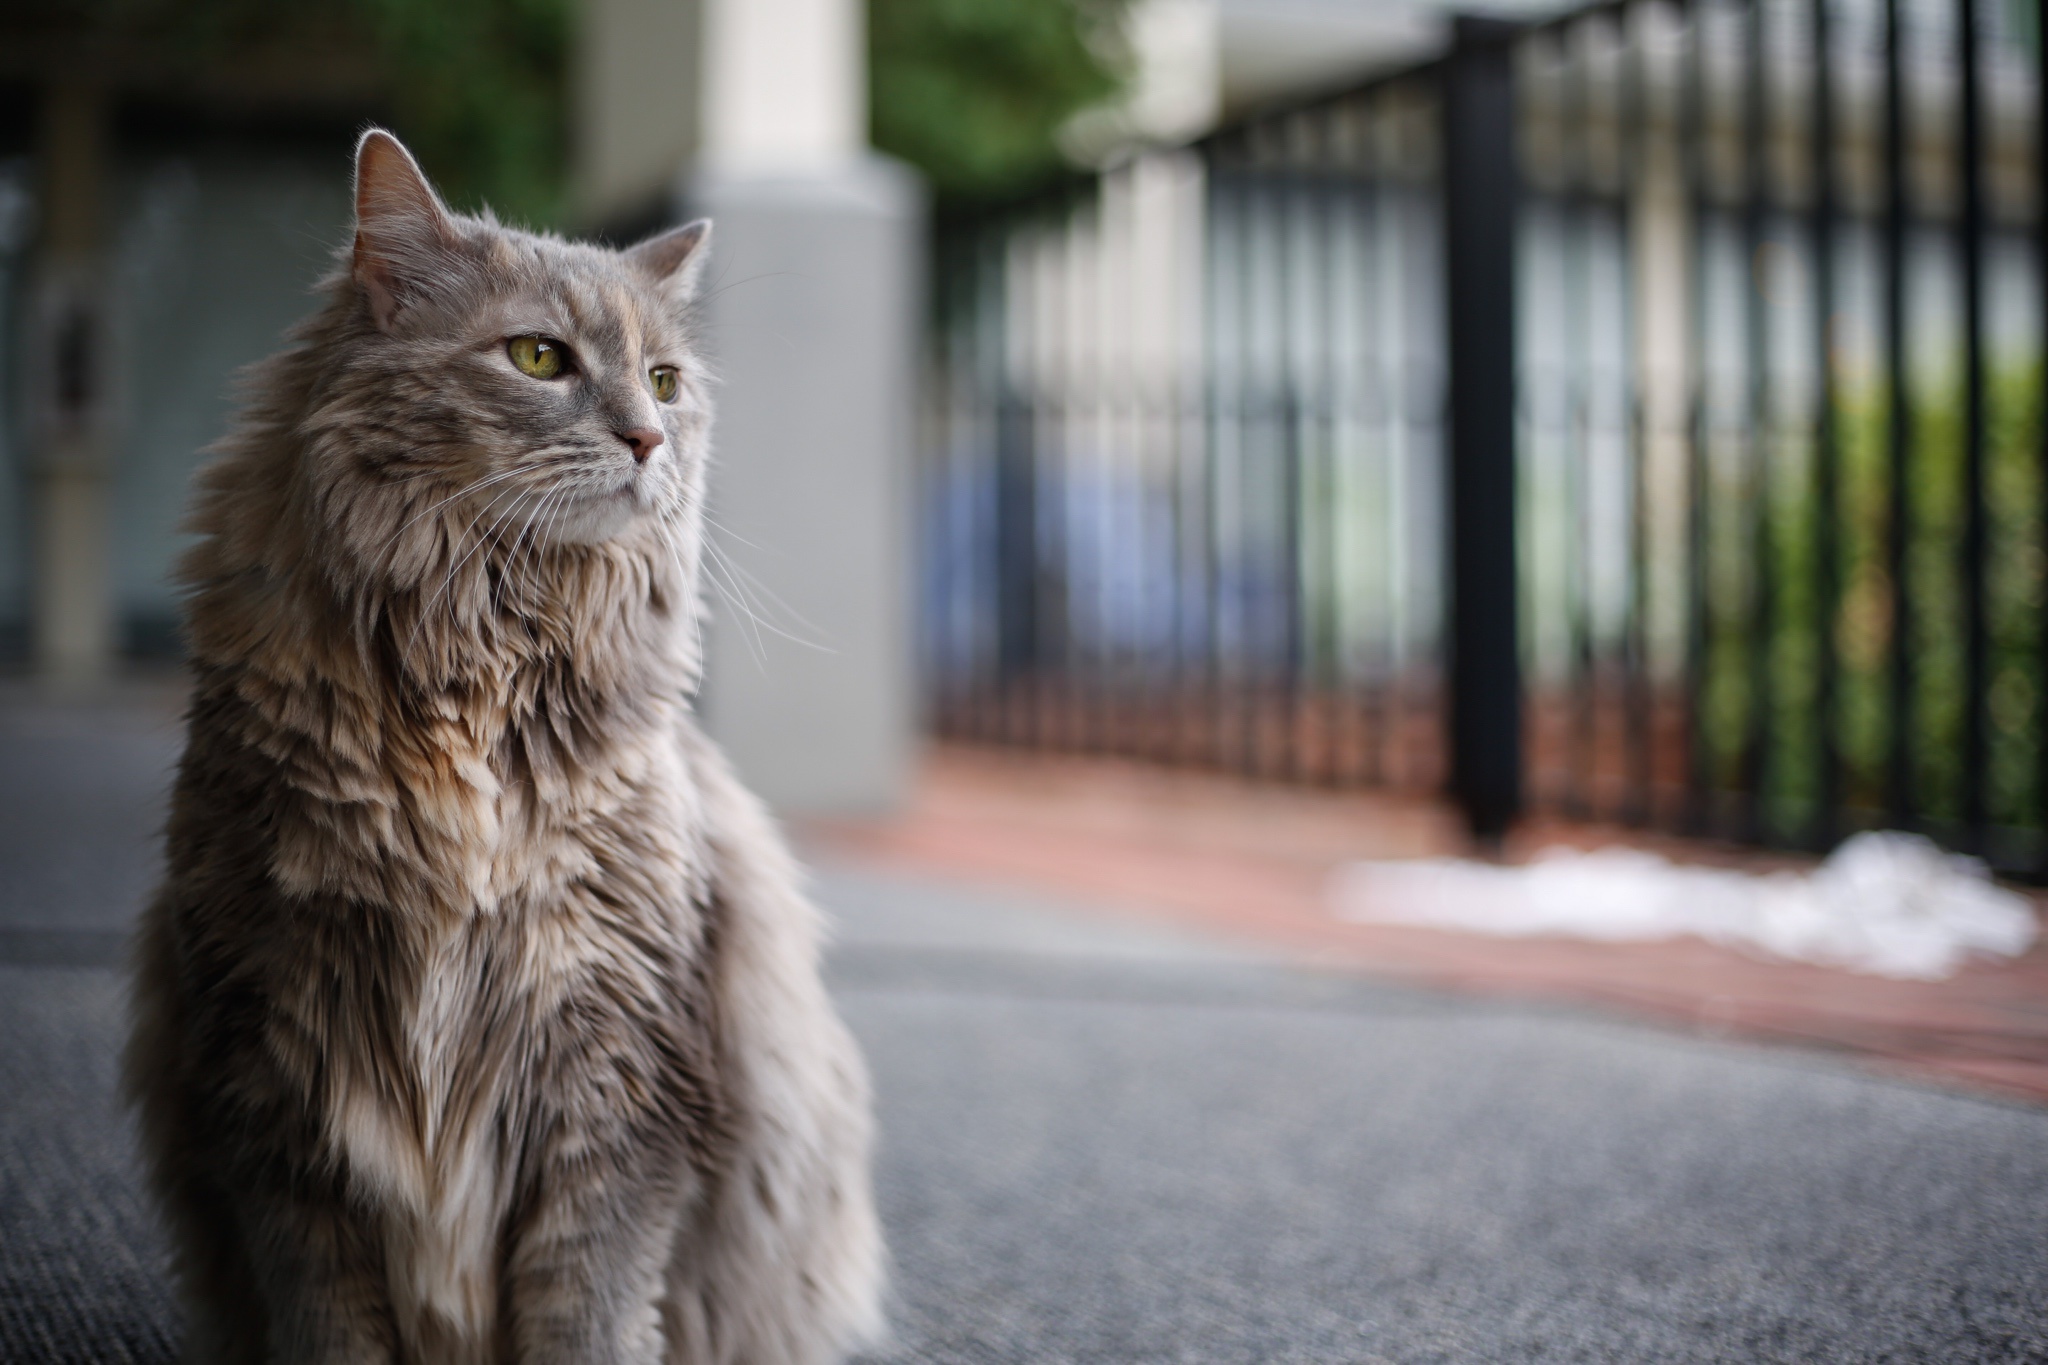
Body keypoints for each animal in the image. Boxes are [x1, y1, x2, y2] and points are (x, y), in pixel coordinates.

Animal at [123, 127, 884, 1365]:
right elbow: (326, 1320)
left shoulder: (617, 1066)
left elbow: (590, 1309)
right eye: (538, 358)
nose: (648, 438)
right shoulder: (269, 1065)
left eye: (664, 381)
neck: (475, 679)